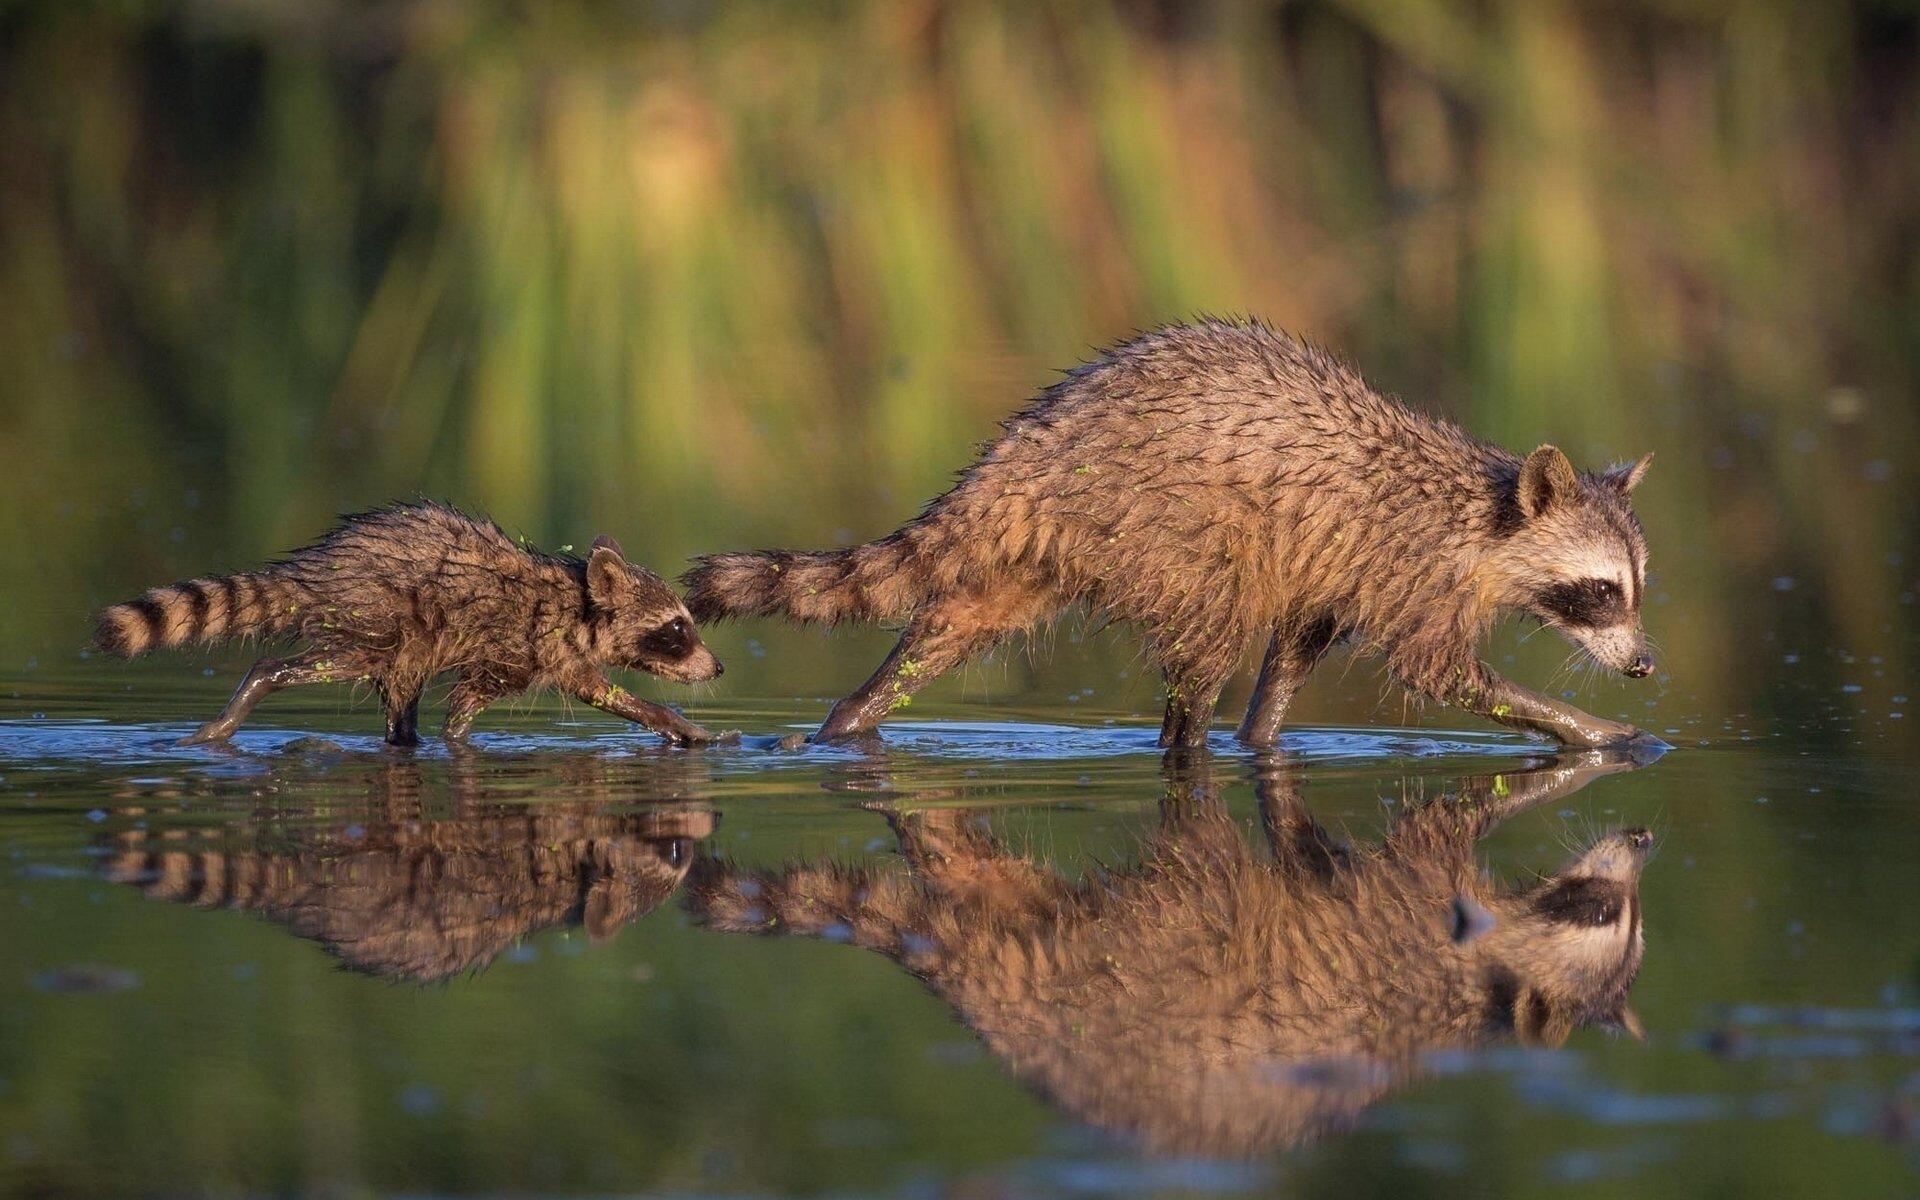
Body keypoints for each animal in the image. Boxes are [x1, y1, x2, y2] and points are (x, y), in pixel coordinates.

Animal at [93, 501, 724, 746]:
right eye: (677, 629)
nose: (717, 667)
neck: (579, 601)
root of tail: (314, 571)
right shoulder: (524, 645)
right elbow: (474, 705)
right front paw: (675, 721)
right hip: (376, 619)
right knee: (304, 665)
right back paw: (255, 689)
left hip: (404, 643)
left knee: (400, 700)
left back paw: (403, 737)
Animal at [685, 320, 1656, 747]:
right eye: (1601, 591)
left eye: (1638, 588)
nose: (1646, 666)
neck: (1483, 515)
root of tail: (1026, 452)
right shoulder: (1412, 570)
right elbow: (1439, 674)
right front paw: (1591, 729)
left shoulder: (1331, 568)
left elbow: (1296, 649)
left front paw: (1263, 733)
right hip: (1164, 530)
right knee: (1207, 647)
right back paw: (1185, 744)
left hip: (1046, 551)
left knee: (952, 627)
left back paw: (852, 716)